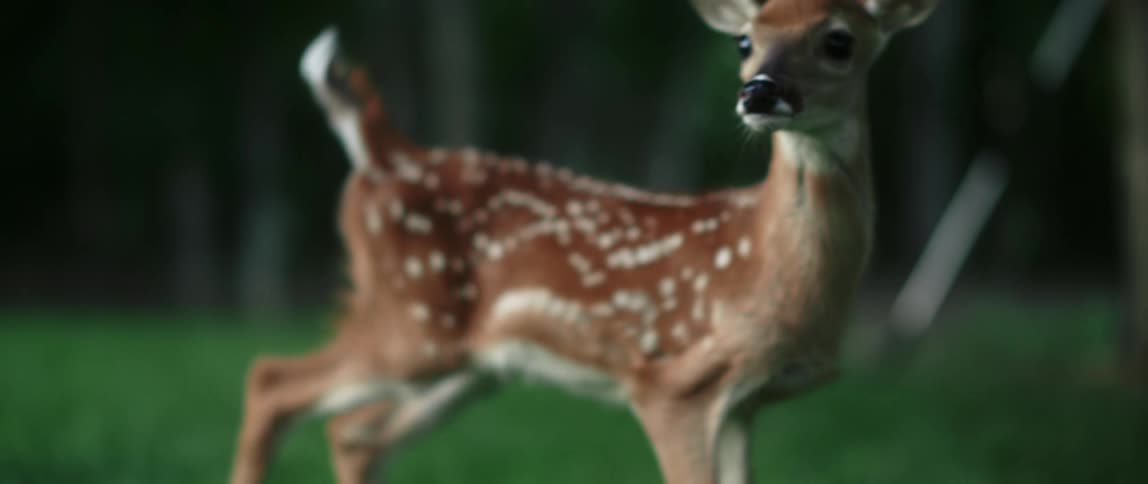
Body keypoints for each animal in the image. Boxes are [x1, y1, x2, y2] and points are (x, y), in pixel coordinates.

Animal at [230, 0, 938, 483]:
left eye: (839, 40)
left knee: (351, 433)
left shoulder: (750, 400)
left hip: (469, 363)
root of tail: (383, 155)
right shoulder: (669, 382)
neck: (767, 269)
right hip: (411, 324)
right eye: (745, 40)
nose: (759, 91)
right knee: (271, 382)